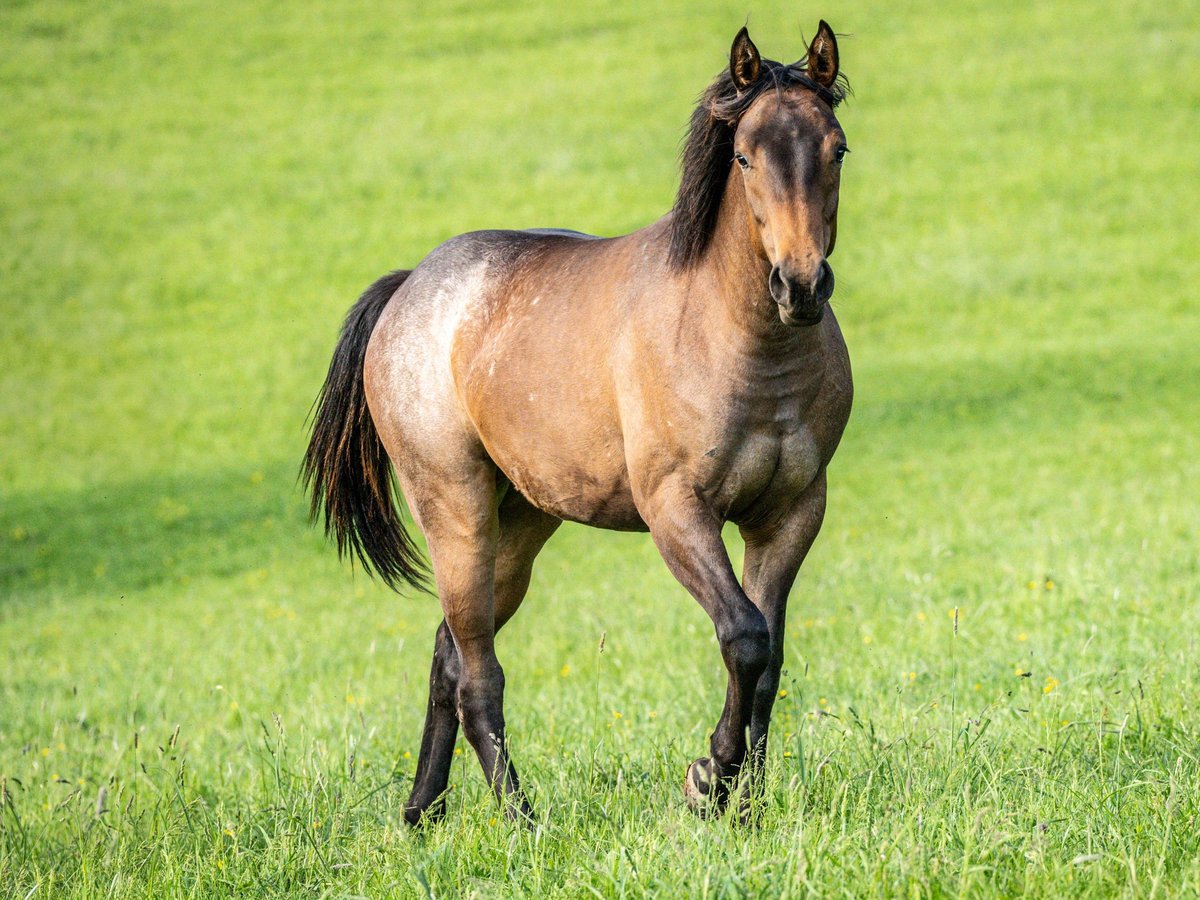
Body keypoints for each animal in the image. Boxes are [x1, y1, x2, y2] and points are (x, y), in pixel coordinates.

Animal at [304, 22, 859, 825]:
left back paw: (421, 812)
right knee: (479, 674)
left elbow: (770, 657)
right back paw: (519, 818)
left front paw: (743, 803)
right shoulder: (676, 511)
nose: (801, 285)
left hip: (521, 524)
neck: (737, 343)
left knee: (448, 656)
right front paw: (707, 778)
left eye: (836, 148)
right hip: (457, 513)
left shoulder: (789, 513)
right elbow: (745, 638)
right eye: (746, 156)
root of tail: (409, 288)